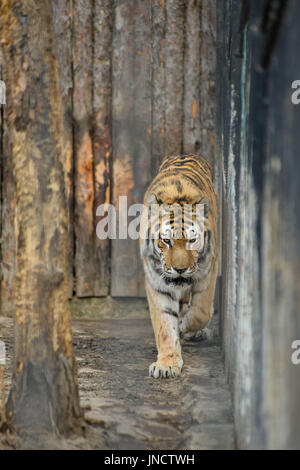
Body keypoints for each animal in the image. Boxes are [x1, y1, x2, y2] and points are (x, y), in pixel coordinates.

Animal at [139, 154, 219, 378]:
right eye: (166, 241)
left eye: (192, 241)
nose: (180, 270)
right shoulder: (157, 282)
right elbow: (165, 325)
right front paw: (166, 364)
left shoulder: (207, 272)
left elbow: (201, 312)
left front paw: (184, 327)